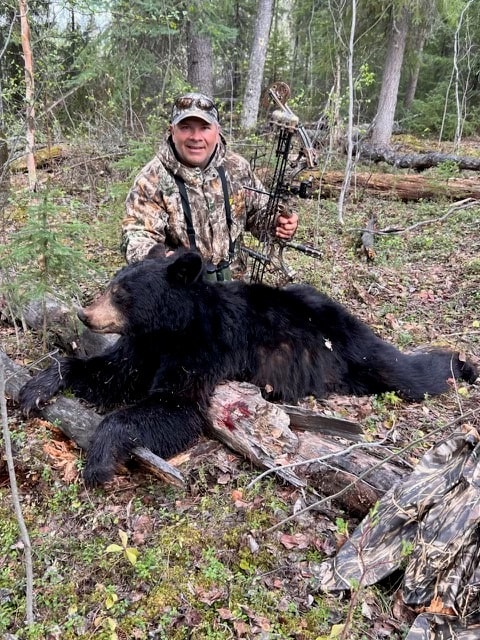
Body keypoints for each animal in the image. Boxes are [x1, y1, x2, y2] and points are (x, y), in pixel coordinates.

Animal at [19, 250, 478, 486]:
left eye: (121, 293)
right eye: (111, 285)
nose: (85, 314)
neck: (170, 329)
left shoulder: (203, 348)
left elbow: (177, 406)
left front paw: (99, 460)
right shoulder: (144, 348)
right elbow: (109, 373)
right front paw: (35, 387)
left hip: (354, 348)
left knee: (405, 372)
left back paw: (460, 363)